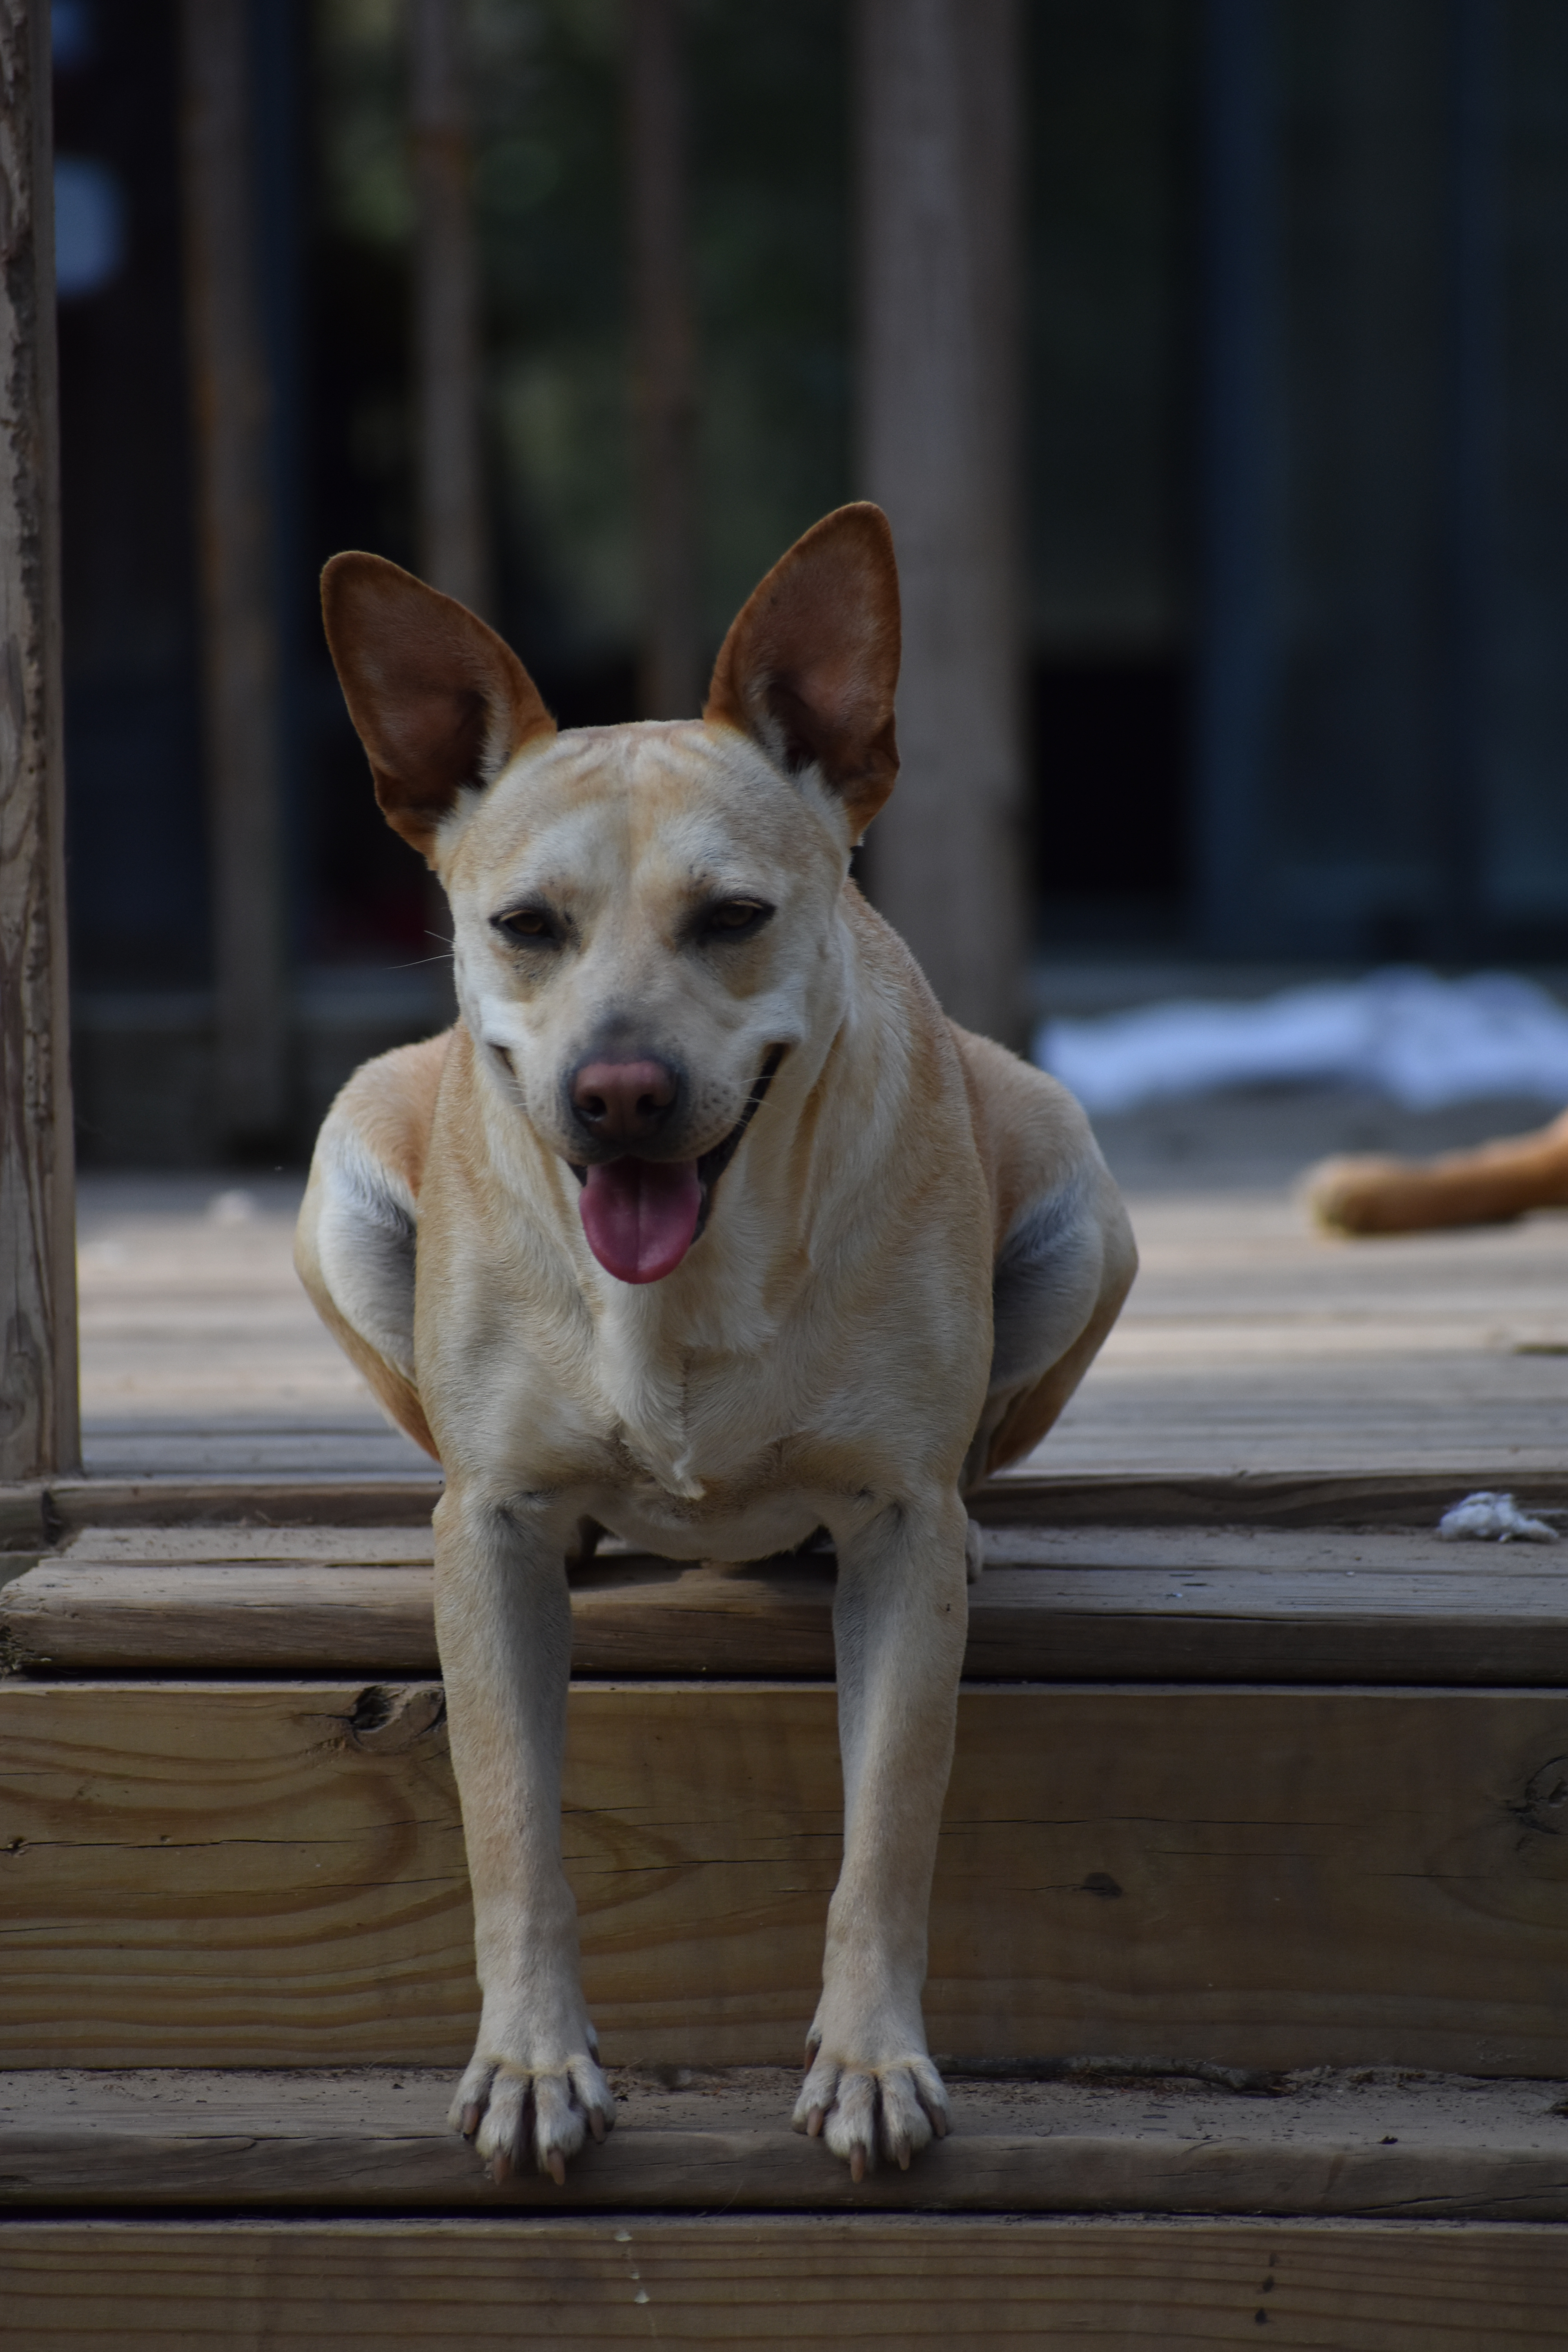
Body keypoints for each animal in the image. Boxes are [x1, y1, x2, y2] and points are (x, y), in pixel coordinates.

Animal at [297, 506, 1128, 2173]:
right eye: (524, 927)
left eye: (734, 918)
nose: (616, 1091)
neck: (686, 1293)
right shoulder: (484, 1539)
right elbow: (510, 1824)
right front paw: (532, 2056)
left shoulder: (893, 1542)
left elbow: (889, 1826)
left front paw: (872, 2057)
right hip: (344, 1169)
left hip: (1081, 1199)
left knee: (975, 1461)